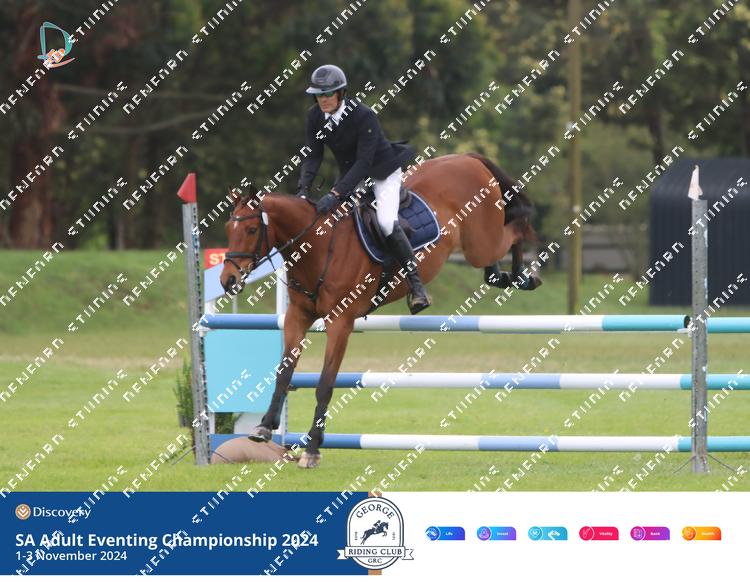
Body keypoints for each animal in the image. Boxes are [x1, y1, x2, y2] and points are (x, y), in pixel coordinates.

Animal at [220, 152, 542, 468]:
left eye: (251, 229)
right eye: (228, 229)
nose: (227, 281)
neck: (319, 246)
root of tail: (468, 158)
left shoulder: (340, 322)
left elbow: (325, 384)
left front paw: (312, 449)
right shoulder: (297, 317)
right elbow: (284, 373)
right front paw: (264, 427)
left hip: (480, 242)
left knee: (517, 228)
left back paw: (526, 275)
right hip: (479, 244)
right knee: (500, 252)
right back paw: (504, 276)